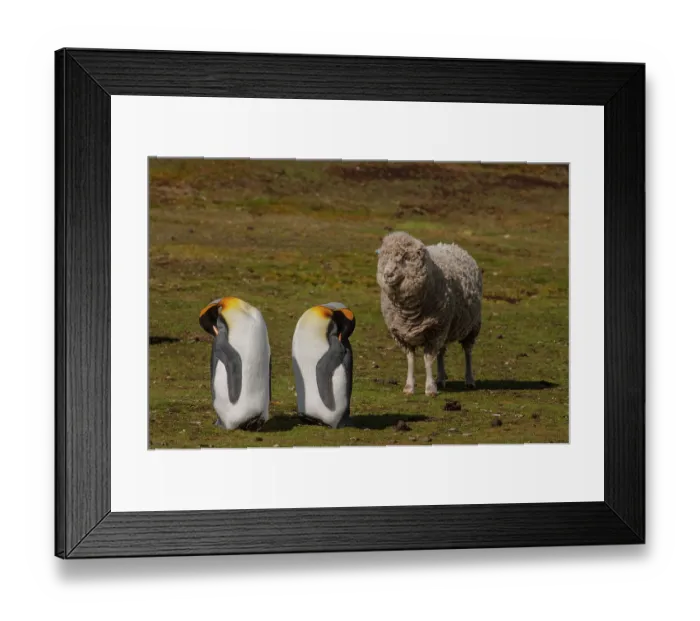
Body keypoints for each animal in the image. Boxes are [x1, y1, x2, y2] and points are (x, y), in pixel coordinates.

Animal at [376, 231, 482, 397]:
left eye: (405, 258)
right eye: (385, 257)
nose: (388, 274)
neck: (409, 312)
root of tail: (451, 245)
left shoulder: (434, 331)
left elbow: (427, 360)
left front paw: (430, 388)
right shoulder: (404, 334)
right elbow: (411, 359)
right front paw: (409, 387)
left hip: (471, 326)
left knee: (468, 351)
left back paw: (469, 380)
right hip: (446, 328)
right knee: (442, 352)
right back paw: (441, 378)